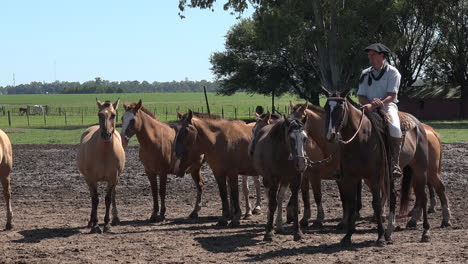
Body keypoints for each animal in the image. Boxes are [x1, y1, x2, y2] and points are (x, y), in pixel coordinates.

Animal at [78, 99, 126, 233]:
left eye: (113, 115)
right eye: (100, 115)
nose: (106, 135)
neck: (104, 153)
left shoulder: (113, 178)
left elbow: (108, 199)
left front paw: (107, 224)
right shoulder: (92, 179)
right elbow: (95, 200)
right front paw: (95, 225)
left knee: (113, 194)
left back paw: (115, 218)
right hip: (88, 180)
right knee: (92, 197)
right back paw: (90, 221)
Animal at [324, 89, 430, 246]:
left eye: (340, 108)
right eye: (326, 108)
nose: (330, 135)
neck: (360, 139)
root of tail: (418, 125)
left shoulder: (373, 177)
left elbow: (377, 204)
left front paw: (379, 237)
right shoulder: (350, 177)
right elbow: (352, 204)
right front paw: (348, 236)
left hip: (419, 170)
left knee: (423, 197)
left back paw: (425, 232)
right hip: (392, 176)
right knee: (394, 196)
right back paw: (389, 232)